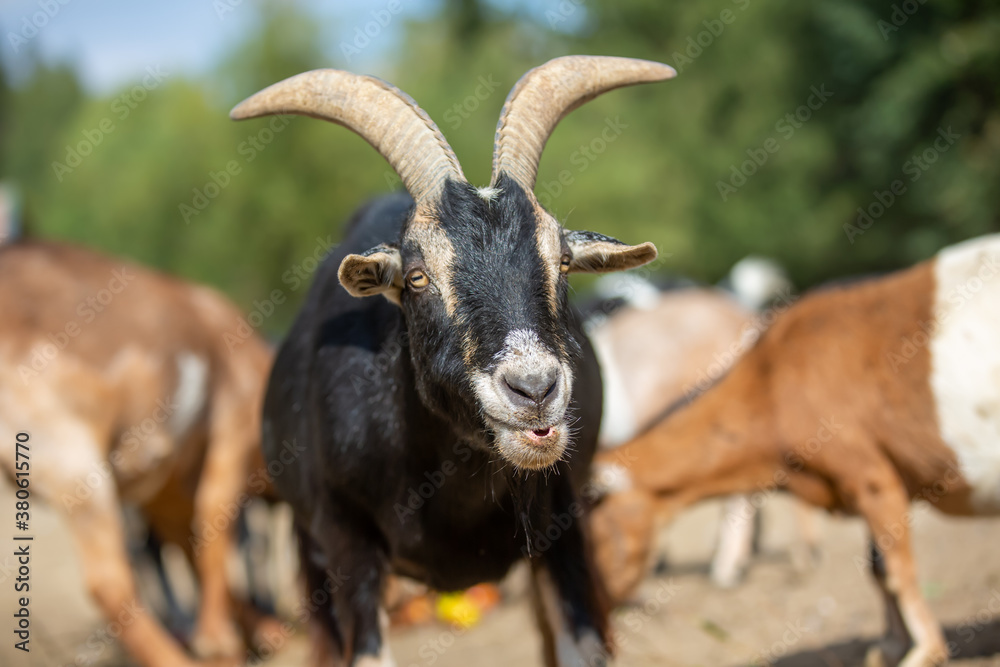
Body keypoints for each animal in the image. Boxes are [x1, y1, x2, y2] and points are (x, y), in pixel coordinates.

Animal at [0, 240, 273, 666]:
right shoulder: (235, 427)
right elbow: (214, 522)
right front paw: (219, 640)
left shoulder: (163, 489)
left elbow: (193, 542)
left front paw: (259, 629)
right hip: (72, 463)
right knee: (108, 580)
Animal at [231, 55, 674, 666]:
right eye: (417, 277)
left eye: (562, 260)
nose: (534, 389)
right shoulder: (345, 541)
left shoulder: (564, 522)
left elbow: (582, 642)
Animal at [589, 234, 1000, 667]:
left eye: (586, 542)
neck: (772, 383)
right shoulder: (872, 478)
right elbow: (877, 567)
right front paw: (890, 646)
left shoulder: (870, 475)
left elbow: (894, 568)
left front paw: (924, 651)